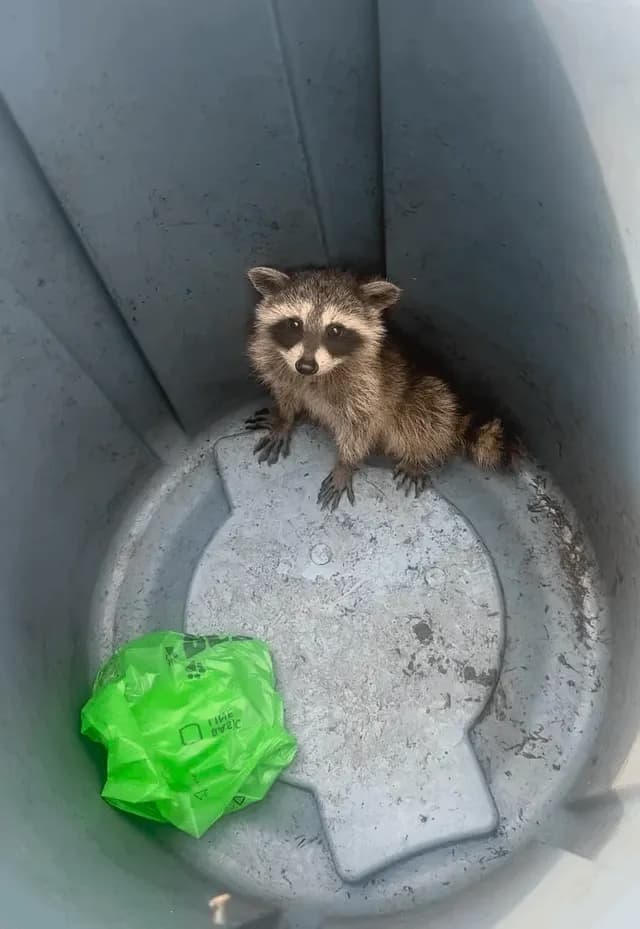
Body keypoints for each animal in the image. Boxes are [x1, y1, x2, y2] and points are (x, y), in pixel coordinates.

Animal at [246, 266, 515, 510]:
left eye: (335, 330)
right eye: (294, 324)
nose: (305, 366)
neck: (317, 376)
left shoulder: (367, 388)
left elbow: (360, 427)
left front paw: (345, 463)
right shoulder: (281, 368)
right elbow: (286, 393)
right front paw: (284, 419)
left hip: (422, 390)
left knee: (428, 411)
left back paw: (419, 453)